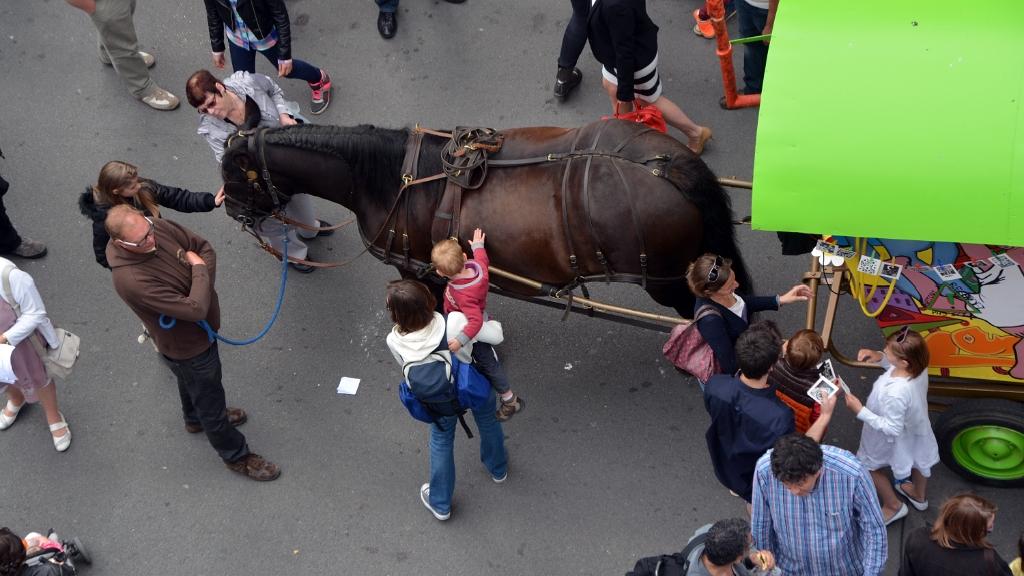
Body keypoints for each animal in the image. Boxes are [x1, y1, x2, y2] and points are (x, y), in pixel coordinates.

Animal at [220, 119, 749, 315]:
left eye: (230, 171)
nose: (230, 209)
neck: (390, 180)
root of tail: (666, 166)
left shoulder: (418, 270)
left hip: (669, 283)